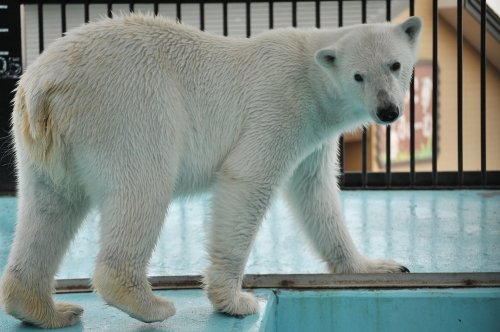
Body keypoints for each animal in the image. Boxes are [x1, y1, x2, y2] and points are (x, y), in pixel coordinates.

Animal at [0, 13, 422, 326]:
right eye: (358, 75)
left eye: (395, 65)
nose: (388, 110)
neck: (311, 72)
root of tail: (44, 85)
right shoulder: (282, 106)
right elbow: (248, 180)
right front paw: (234, 300)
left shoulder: (315, 136)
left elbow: (316, 195)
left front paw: (377, 266)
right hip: (128, 107)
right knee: (143, 187)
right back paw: (148, 304)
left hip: (42, 145)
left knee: (48, 209)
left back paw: (47, 309)